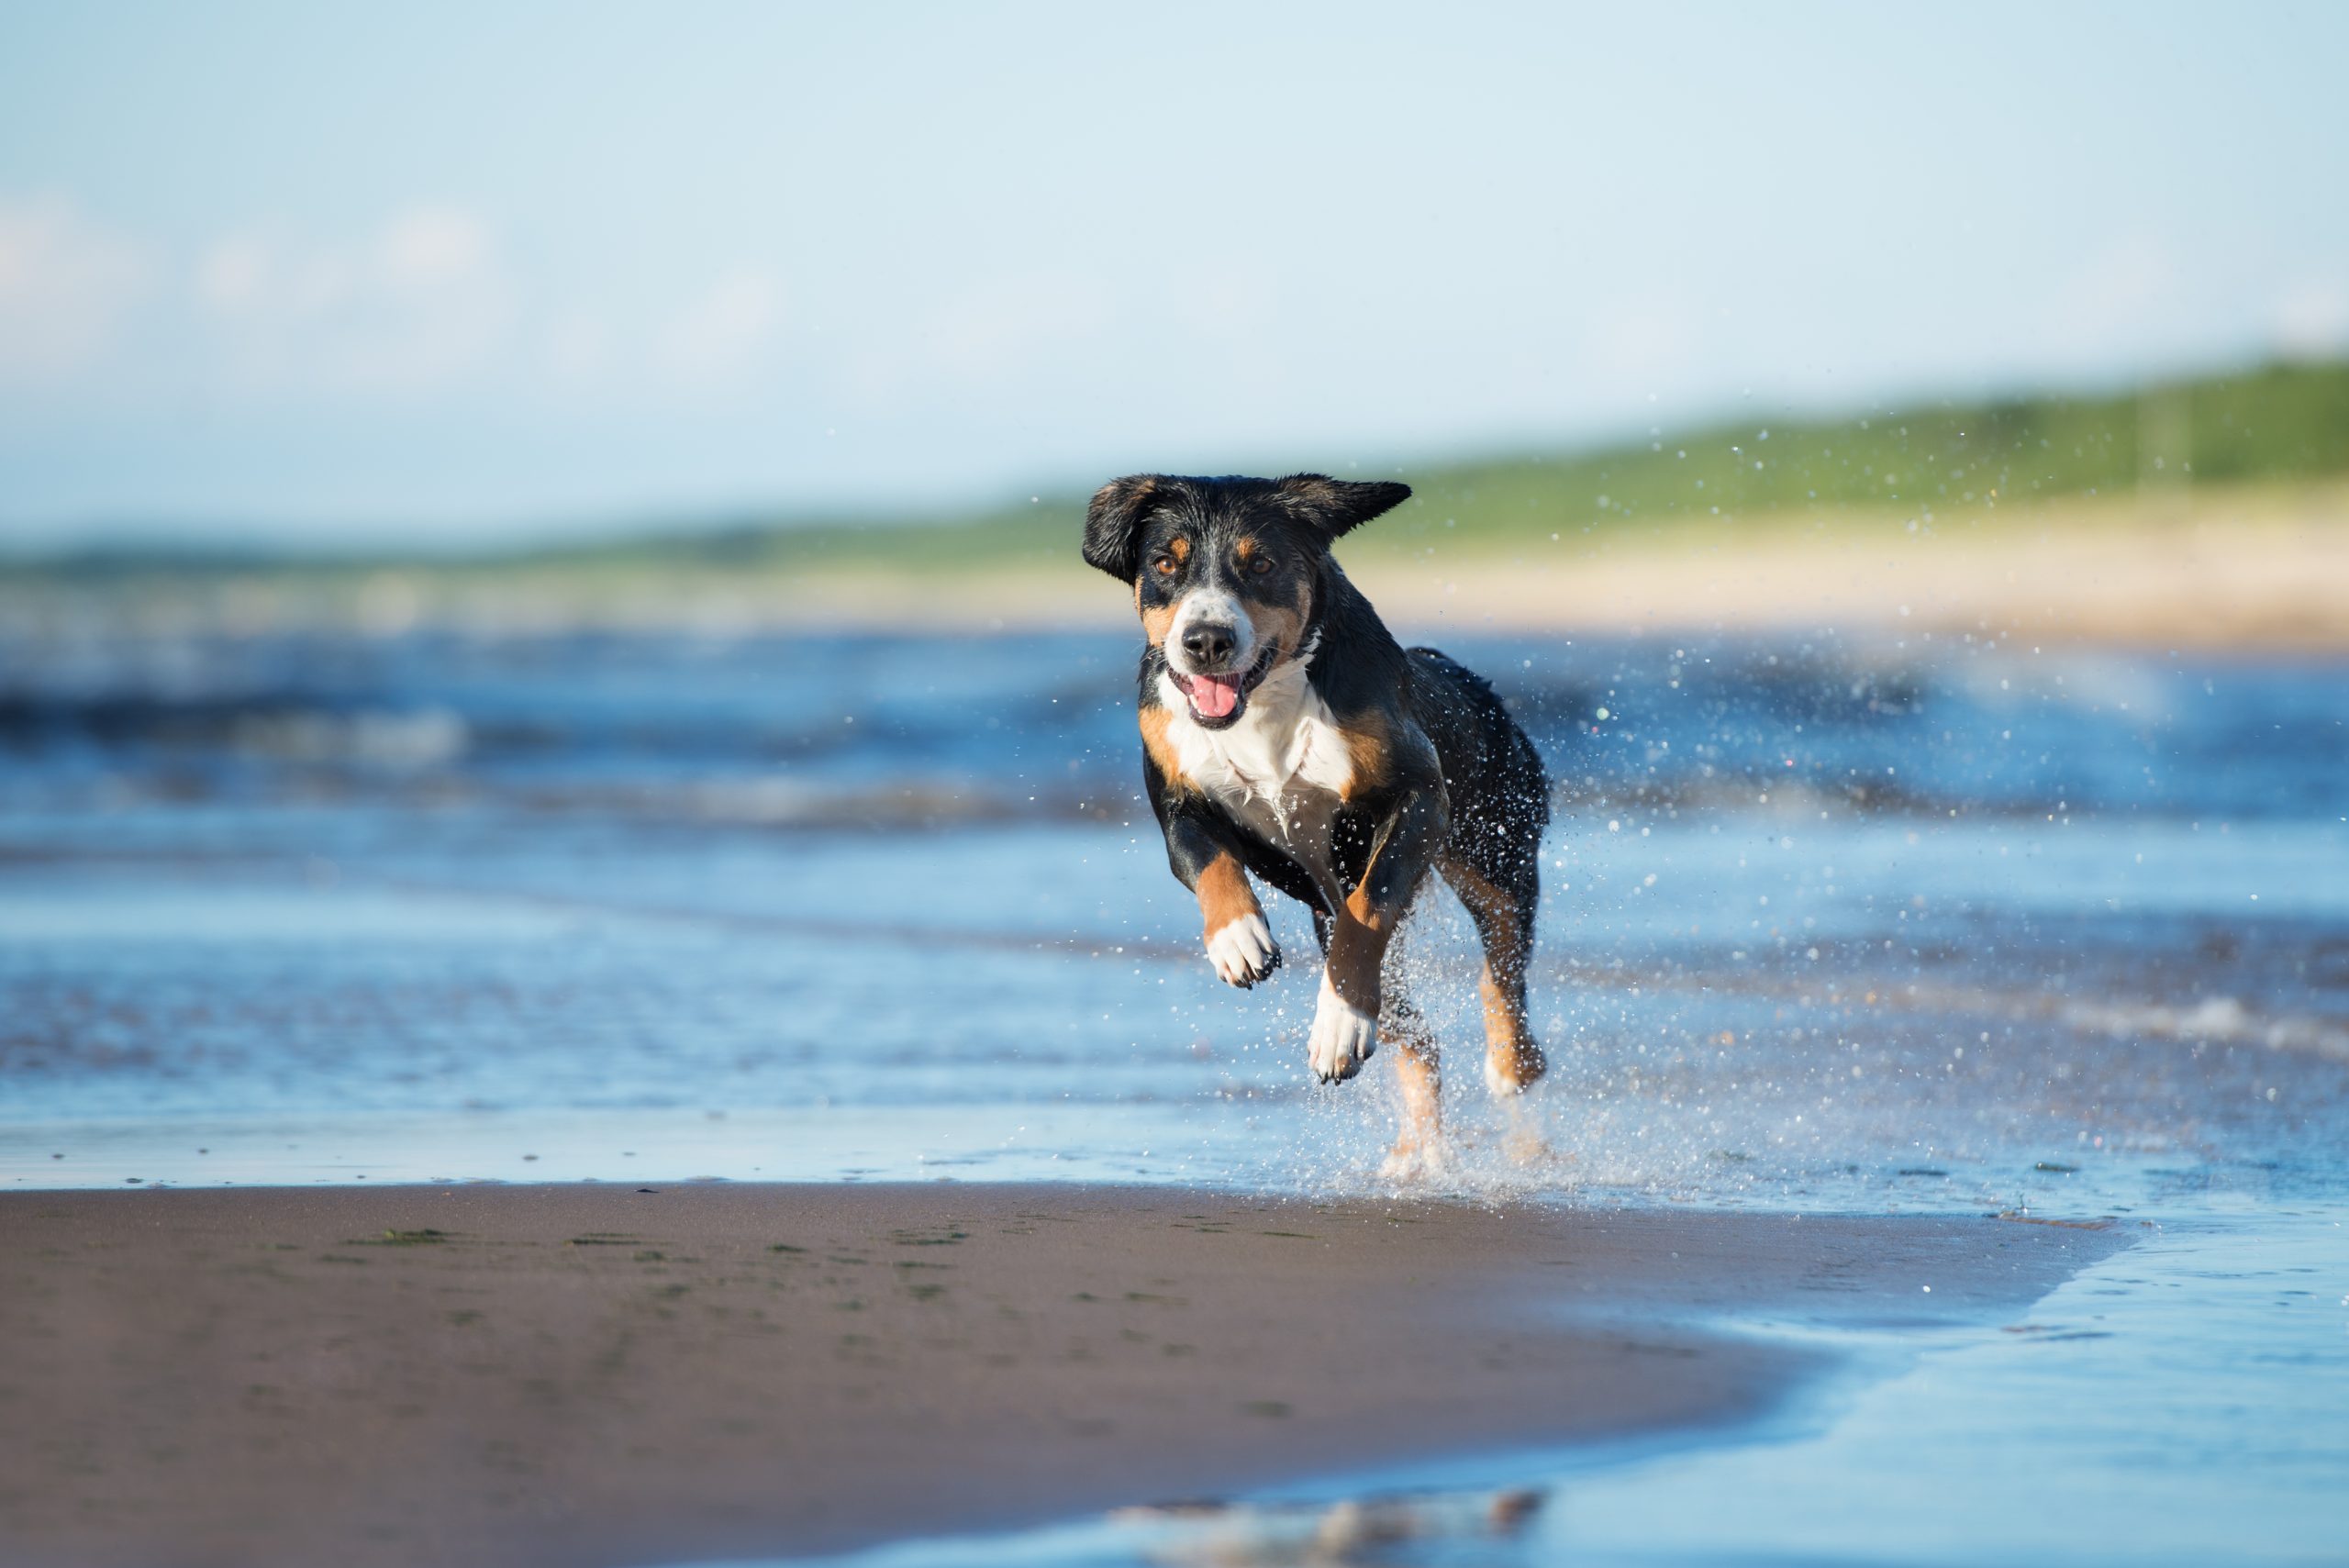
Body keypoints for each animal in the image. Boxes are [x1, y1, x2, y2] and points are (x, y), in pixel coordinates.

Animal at [1085, 464, 1559, 1163]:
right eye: (1166, 564)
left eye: (1261, 563)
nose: (1206, 640)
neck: (1262, 704)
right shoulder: (1174, 798)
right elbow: (1208, 861)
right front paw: (1238, 938)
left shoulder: (1419, 800)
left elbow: (1370, 907)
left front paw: (1337, 1025)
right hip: (1337, 912)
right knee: (1418, 1037)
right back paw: (1415, 1155)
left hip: (1495, 849)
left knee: (1500, 961)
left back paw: (1509, 1063)